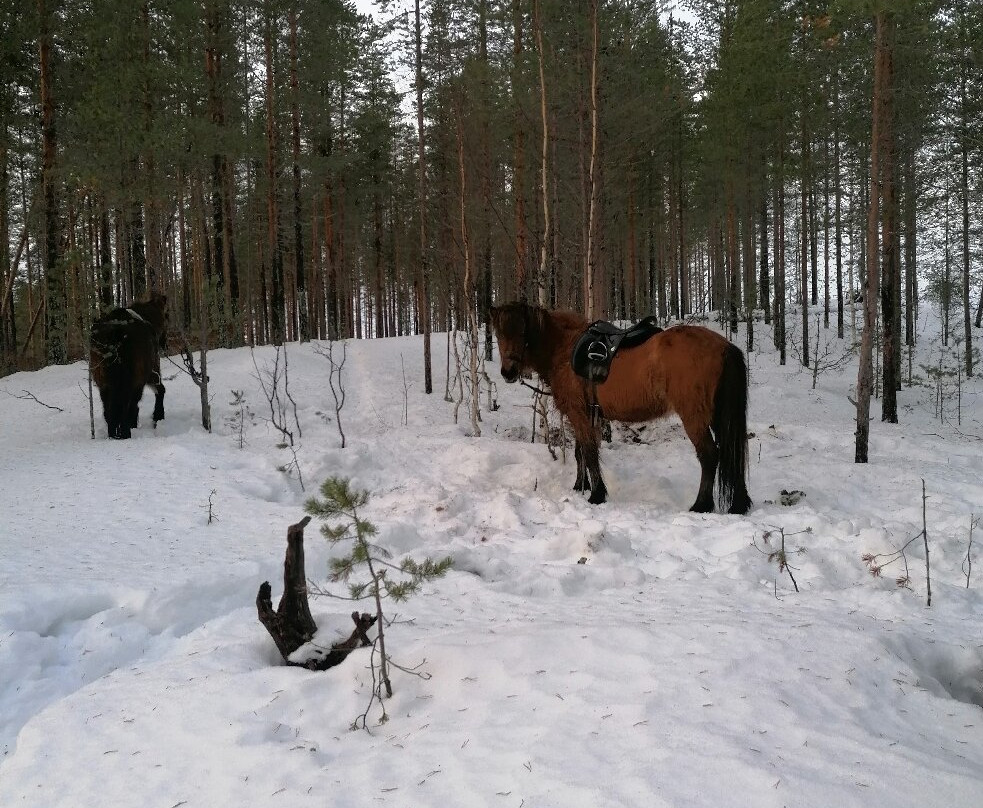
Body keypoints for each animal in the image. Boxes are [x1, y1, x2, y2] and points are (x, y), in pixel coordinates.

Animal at [89, 292, 168, 438]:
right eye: (167, 316)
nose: (165, 344)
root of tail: (117, 329)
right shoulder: (151, 374)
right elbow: (160, 390)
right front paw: (157, 417)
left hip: (104, 383)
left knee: (110, 411)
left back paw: (113, 436)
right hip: (134, 381)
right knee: (127, 408)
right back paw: (126, 434)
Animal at [492, 300, 752, 516]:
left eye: (523, 331)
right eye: (498, 333)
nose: (508, 372)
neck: (564, 350)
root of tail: (724, 346)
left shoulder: (579, 415)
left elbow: (589, 453)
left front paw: (596, 495)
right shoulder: (588, 416)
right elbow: (580, 453)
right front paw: (580, 486)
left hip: (694, 417)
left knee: (709, 455)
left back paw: (701, 505)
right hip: (718, 417)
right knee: (731, 453)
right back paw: (738, 504)